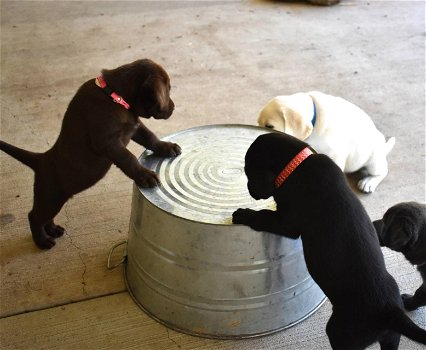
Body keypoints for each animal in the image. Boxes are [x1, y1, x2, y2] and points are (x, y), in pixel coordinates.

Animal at [260, 90, 396, 193]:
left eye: (270, 126)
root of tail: (383, 147)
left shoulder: (336, 155)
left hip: (373, 161)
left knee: (383, 171)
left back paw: (369, 182)